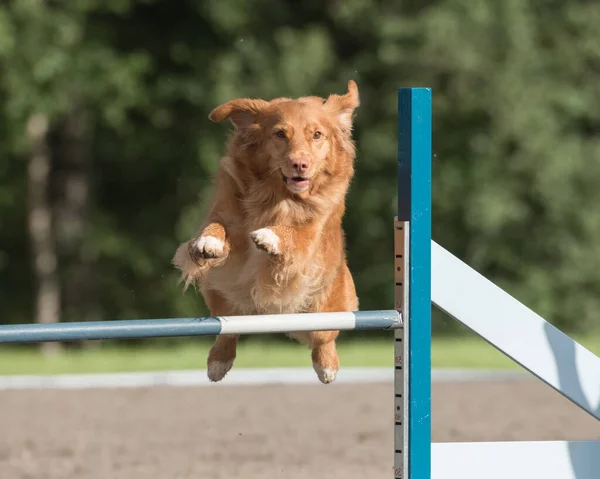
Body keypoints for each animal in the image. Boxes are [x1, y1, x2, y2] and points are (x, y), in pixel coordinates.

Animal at [173, 80, 360, 384]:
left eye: (317, 135)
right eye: (280, 134)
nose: (300, 164)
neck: (277, 195)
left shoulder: (311, 234)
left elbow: (294, 235)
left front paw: (269, 236)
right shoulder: (227, 215)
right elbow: (217, 226)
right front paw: (208, 242)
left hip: (327, 308)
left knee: (324, 338)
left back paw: (327, 366)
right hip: (223, 297)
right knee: (228, 330)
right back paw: (218, 363)